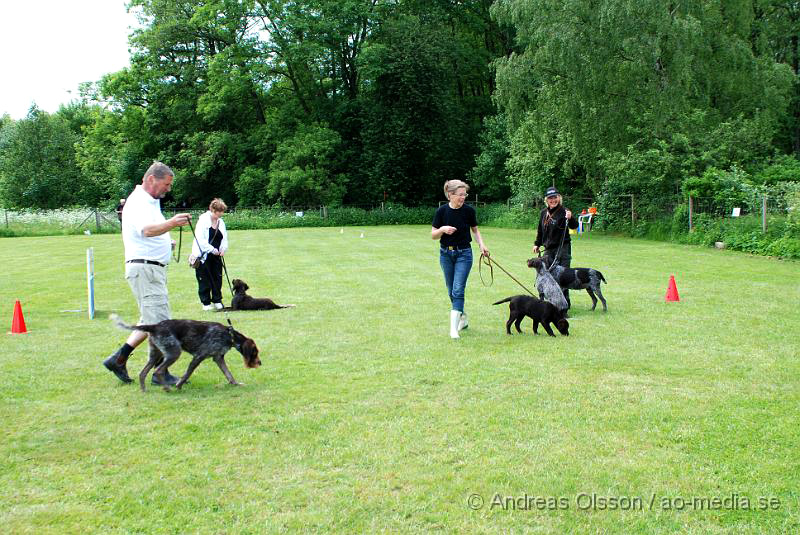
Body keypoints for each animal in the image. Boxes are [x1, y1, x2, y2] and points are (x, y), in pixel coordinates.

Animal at [112, 314, 260, 394]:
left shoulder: (218, 358)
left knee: (143, 373)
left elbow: (228, 374)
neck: (229, 336)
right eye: (255, 352)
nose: (260, 362)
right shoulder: (199, 356)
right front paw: (179, 385)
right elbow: (187, 374)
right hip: (173, 353)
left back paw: (144, 390)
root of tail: (154, 326)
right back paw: (167, 388)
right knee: (158, 371)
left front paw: (235, 384)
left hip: (155, 354)